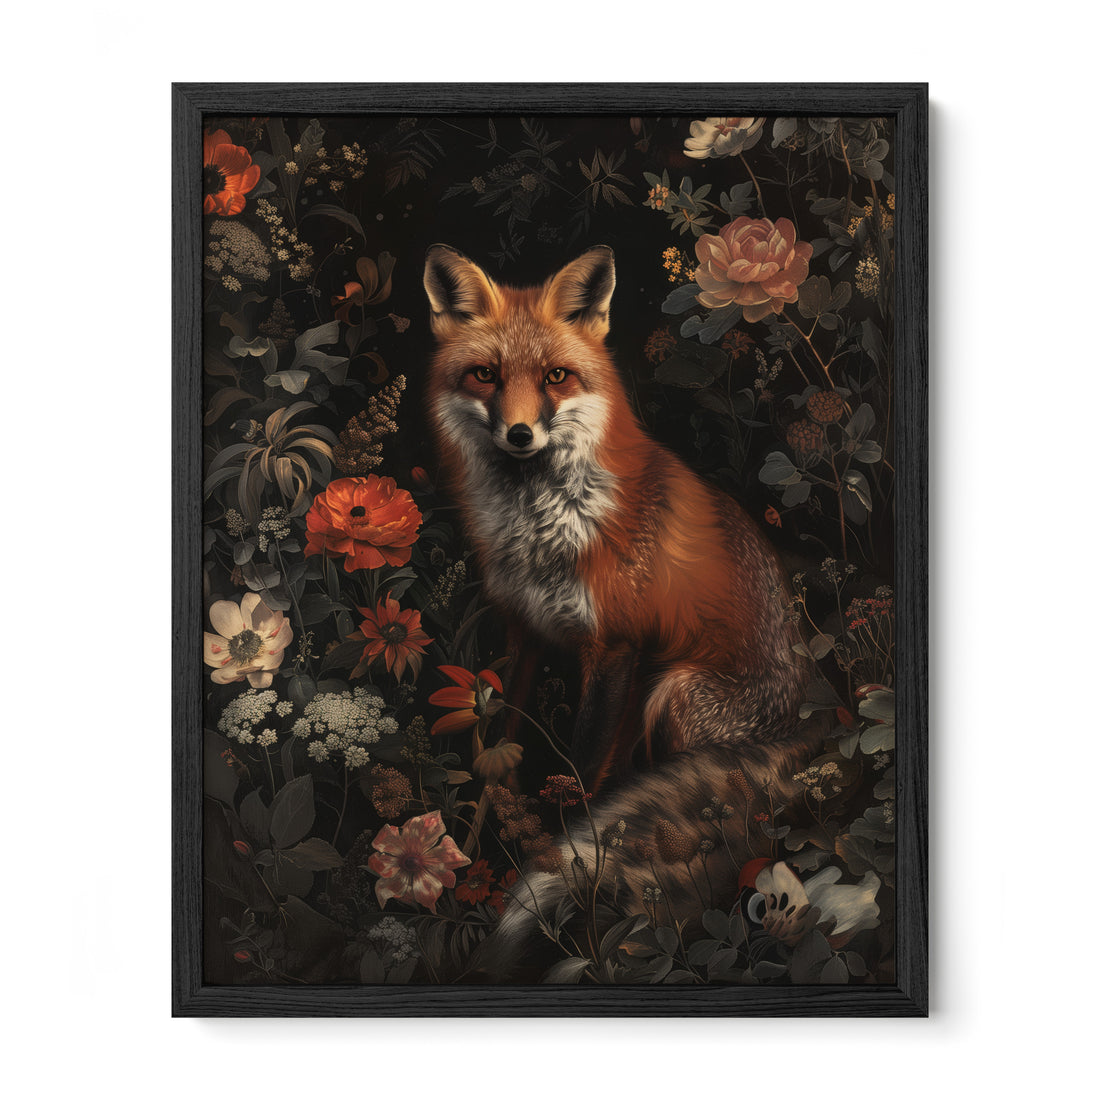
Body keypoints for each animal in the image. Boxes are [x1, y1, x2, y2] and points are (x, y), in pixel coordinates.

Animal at [423, 244, 821, 975]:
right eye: (485, 374)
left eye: (555, 377)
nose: (519, 434)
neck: (543, 528)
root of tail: (822, 717)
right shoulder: (524, 636)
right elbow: (497, 760)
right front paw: (467, 855)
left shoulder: (615, 648)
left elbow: (579, 780)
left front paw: (551, 864)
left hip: (675, 694)